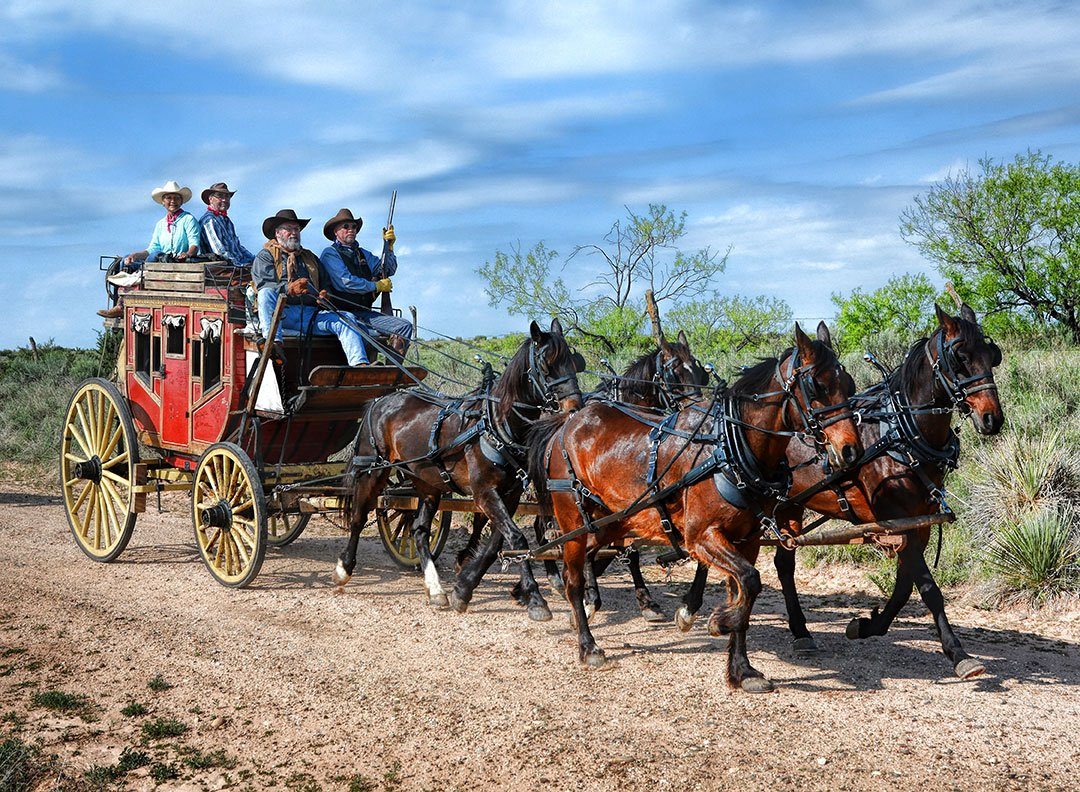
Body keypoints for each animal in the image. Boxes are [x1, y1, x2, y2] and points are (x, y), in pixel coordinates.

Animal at [334, 317, 583, 613]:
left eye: (573, 360)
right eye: (546, 362)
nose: (575, 406)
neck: (494, 424)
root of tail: (379, 400)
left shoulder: (509, 494)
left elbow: (497, 543)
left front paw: (464, 588)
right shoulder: (484, 492)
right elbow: (516, 539)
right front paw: (534, 597)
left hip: (426, 483)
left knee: (419, 531)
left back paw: (435, 589)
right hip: (373, 470)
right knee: (359, 516)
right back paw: (344, 568)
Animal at [529, 324, 859, 687]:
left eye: (849, 384)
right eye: (817, 385)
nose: (850, 450)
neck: (728, 450)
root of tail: (567, 423)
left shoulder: (747, 540)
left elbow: (743, 589)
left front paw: (741, 668)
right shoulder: (701, 536)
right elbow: (749, 582)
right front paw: (719, 621)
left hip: (607, 523)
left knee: (584, 562)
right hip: (573, 522)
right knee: (571, 577)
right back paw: (587, 645)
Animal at [673, 302, 1002, 678]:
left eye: (991, 356)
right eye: (960, 357)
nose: (992, 419)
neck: (900, 434)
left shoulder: (918, 524)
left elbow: (906, 585)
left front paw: (868, 625)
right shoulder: (897, 519)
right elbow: (928, 588)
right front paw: (957, 653)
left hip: (788, 506)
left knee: (783, 564)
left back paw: (800, 631)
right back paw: (691, 607)